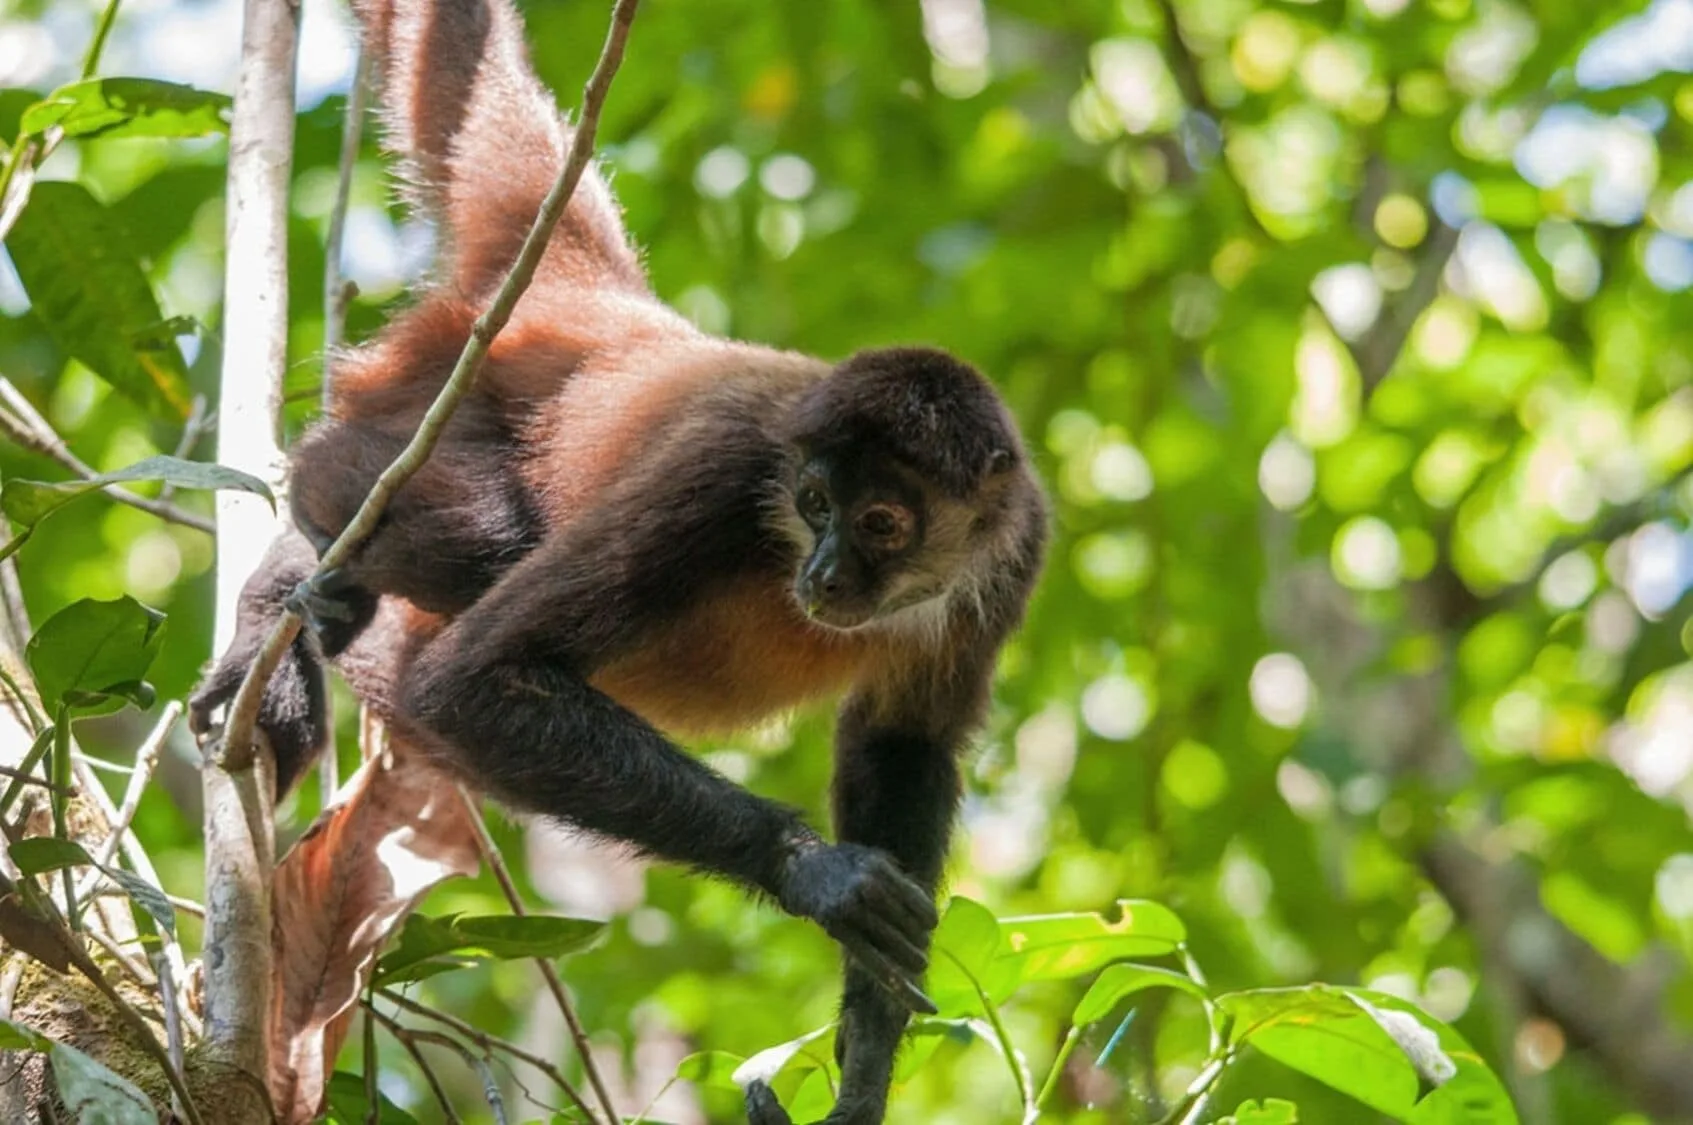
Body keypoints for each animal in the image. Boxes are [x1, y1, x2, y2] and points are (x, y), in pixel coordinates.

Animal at [188, 1, 1047, 1122]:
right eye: (813, 505)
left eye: (881, 523)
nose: (820, 579)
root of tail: (592, 308)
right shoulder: (720, 475)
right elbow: (465, 682)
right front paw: (816, 875)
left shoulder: (1017, 541)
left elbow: (905, 748)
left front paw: (865, 1059)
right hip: (451, 382)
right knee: (419, 514)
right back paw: (310, 590)